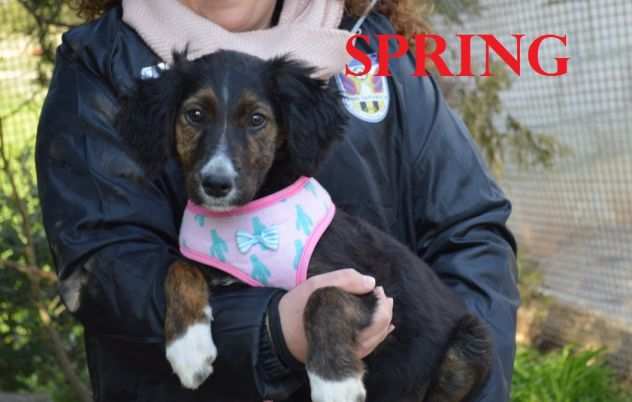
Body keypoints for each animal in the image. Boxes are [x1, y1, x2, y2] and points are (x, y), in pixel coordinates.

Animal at [119, 51, 494, 402]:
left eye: (257, 119)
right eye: (195, 115)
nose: (216, 184)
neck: (247, 220)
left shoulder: (367, 285)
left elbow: (323, 296)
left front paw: (335, 384)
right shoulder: (217, 270)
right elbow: (178, 268)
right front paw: (188, 348)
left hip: (468, 346)